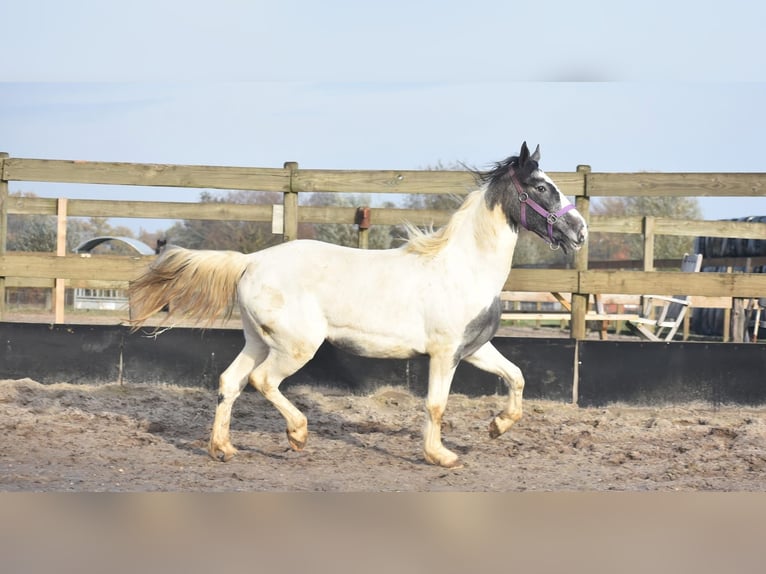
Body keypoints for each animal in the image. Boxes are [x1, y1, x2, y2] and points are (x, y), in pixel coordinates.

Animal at [128, 142, 588, 468]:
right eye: (541, 187)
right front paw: (441, 456)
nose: (580, 231)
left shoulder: (473, 349)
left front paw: (497, 427)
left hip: (258, 340)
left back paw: (222, 449)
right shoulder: (444, 353)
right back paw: (297, 435)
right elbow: (436, 404)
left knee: (230, 381)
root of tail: (251, 261)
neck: (464, 268)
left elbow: (517, 377)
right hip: (297, 346)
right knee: (262, 381)